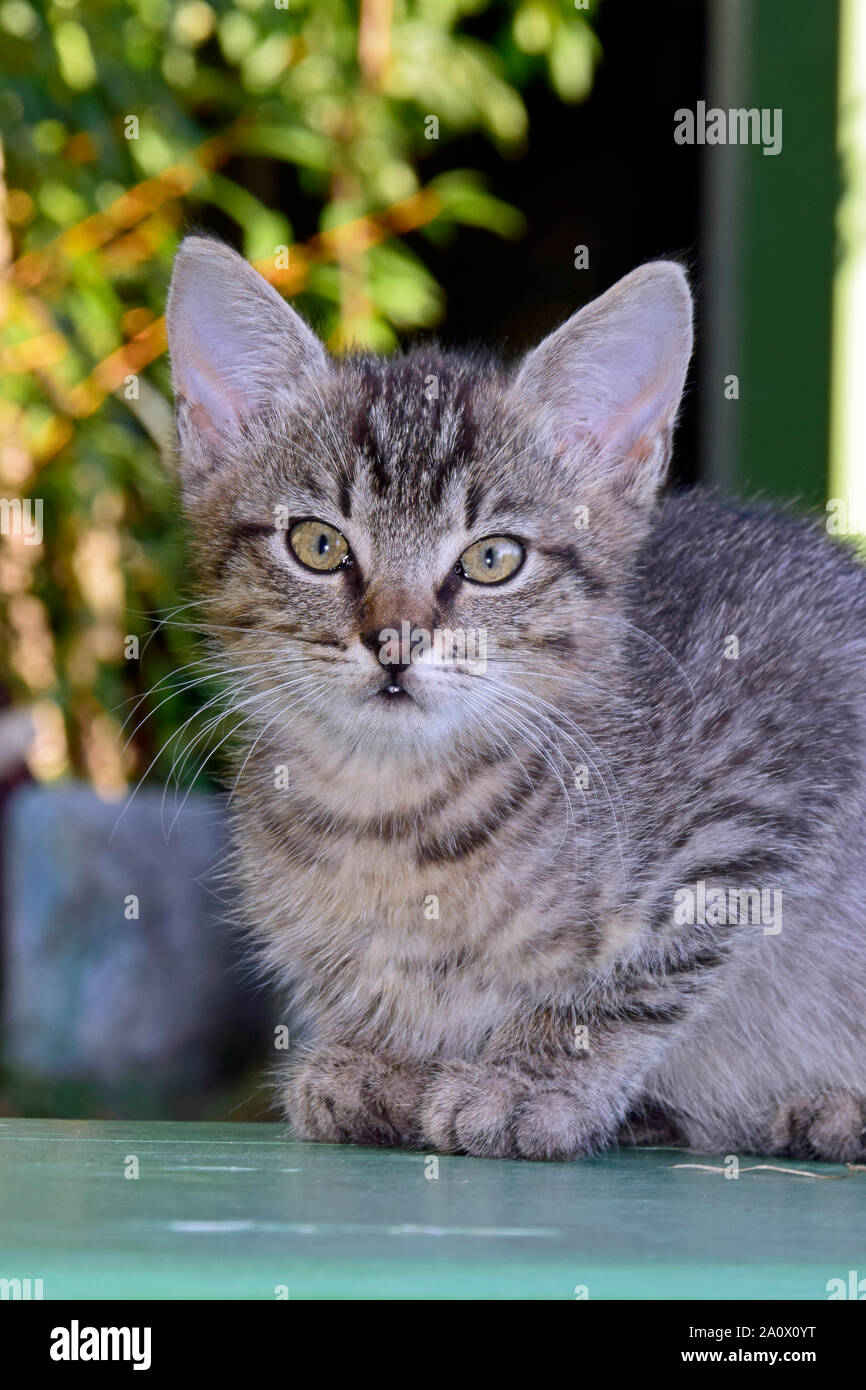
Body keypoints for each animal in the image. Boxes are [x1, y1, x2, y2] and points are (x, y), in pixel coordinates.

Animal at [167, 236, 866, 1162]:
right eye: (317, 544)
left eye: (493, 559)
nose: (395, 640)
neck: (391, 812)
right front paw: (384, 1059)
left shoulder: (770, 777)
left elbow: (637, 975)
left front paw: (531, 1078)